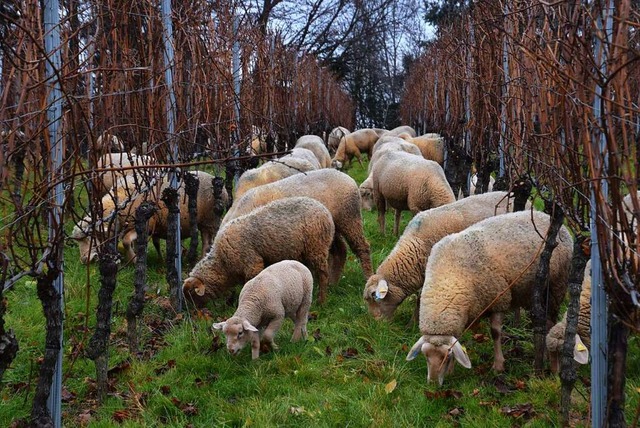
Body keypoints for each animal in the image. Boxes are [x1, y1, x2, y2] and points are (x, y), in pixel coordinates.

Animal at [182, 196, 336, 306]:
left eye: (192, 295)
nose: (199, 314)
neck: (222, 262)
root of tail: (325, 210)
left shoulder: (253, 264)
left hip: (317, 247)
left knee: (323, 274)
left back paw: (321, 301)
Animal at [222, 167, 372, 280]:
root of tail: (346, 176)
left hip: (349, 218)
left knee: (362, 247)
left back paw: (368, 276)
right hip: (329, 228)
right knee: (341, 250)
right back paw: (333, 281)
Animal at [408, 211, 572, 384]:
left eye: (446, 356)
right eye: (426, 356)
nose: (433, 383)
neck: (448, 279)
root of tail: (545, 215)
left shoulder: (499, 299)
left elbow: (495, 333)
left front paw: (498, 365)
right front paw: (452, 371)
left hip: (556, 286)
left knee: (550, 322)